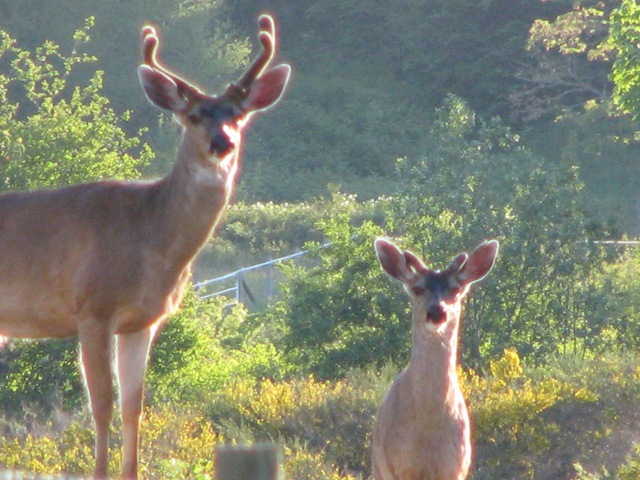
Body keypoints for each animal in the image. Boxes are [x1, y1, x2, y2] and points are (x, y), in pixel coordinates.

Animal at [0, 14, 290, 479]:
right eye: (192, 115)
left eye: (239, 115)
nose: (222, 142)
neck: (149, 240)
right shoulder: (92, 308)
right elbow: (101, 405)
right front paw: (99, 472)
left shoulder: (142, 322)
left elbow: (133, 407)